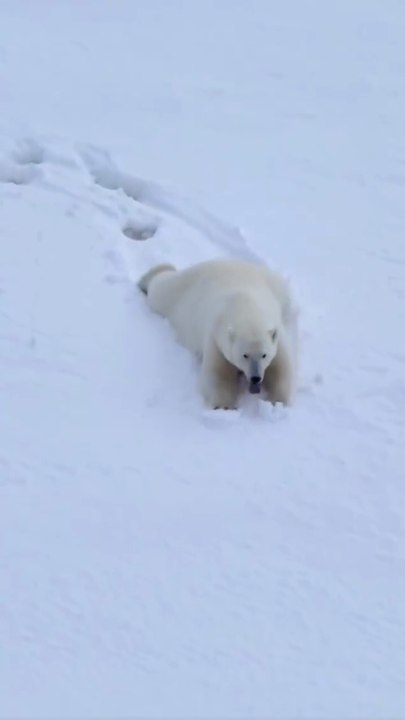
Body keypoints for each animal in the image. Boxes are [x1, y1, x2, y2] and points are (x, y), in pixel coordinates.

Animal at [138, 258, 297, 410]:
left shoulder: (277, 334)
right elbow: (218, 373)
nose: (255, 378)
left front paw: (277, 401)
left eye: (264, 355)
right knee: (161, 289)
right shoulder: (217, 337)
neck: (246, 308)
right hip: (178, 293)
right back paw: (151, 276)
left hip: (277, 286)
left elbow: (281, 368)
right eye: (244, 355)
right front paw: (224, 406)